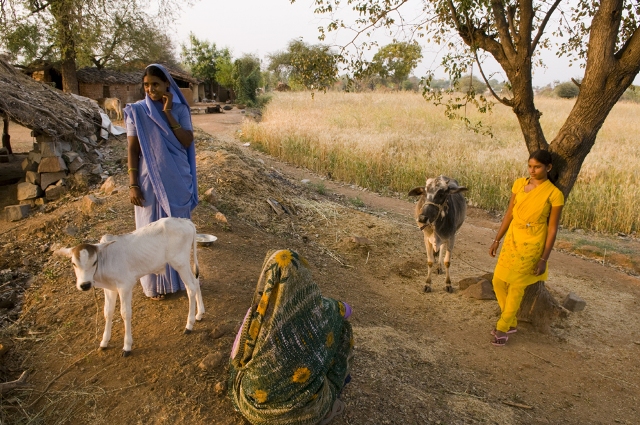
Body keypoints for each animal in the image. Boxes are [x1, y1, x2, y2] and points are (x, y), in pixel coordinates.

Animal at [55, 217, 206, 356]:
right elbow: (107, 312)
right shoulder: (109, 289)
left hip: (179, 262)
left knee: (191, 288)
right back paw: (199, 313)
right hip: (184, 263)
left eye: (94, 262)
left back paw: (189, 325)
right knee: (196, 281)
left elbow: (125, 313)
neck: (106, 260)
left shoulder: (125, 286)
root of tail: (185, 221)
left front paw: (127, 346)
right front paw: (104, 342)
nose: (85, 285)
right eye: (73, 263)